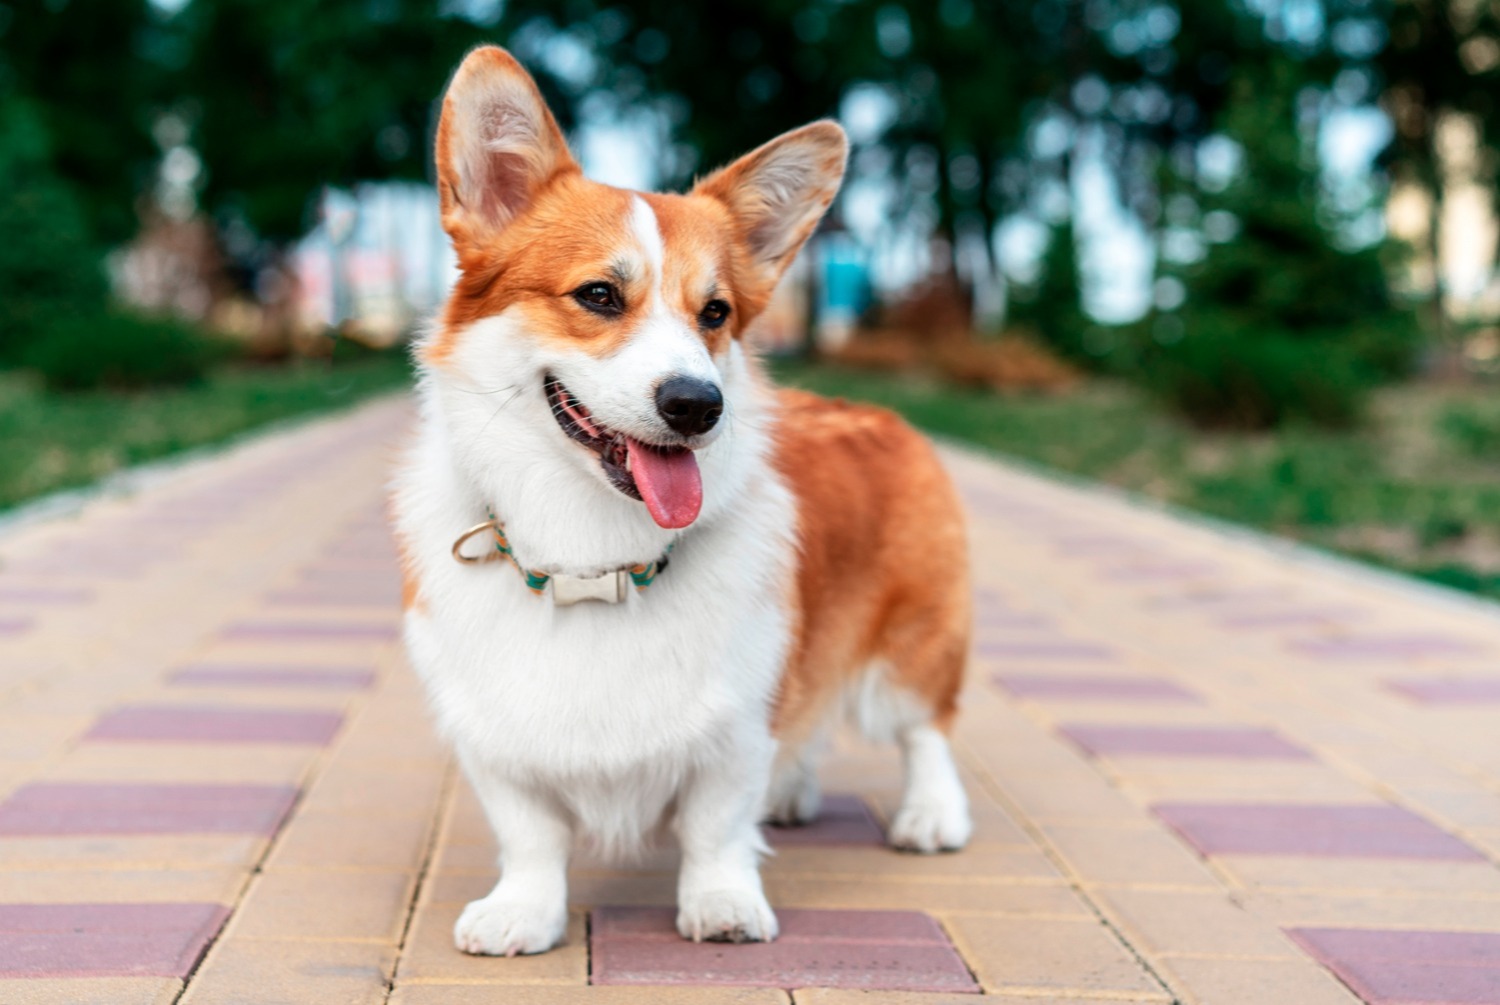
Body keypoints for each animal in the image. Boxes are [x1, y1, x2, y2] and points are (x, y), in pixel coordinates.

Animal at [390, 45, 972, 960]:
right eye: (598, 295)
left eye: (716, 312)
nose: (699, 404)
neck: (590, 554)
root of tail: (879, 410)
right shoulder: (492, 730)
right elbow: (531, 833)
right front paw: (522, 910)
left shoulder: (735, 717)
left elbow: (715, 824)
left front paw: (723, 904)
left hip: (912, 644)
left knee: (927, 727)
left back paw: (931, 812)